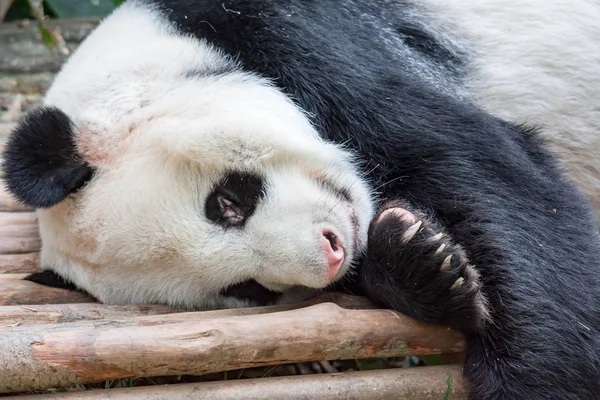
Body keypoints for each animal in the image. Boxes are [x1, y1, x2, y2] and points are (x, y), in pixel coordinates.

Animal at [1, 0, 600, 400]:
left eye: (226, 203)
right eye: (247, 289)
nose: (330, 252)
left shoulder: (297, 38)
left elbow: (486, 171)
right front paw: (422, 262)